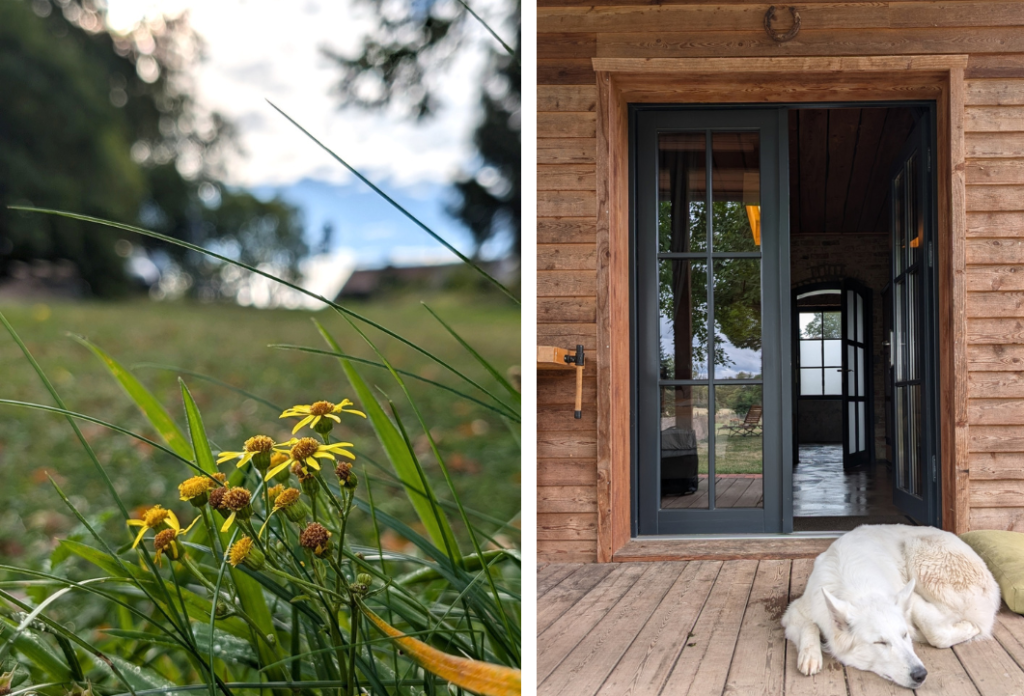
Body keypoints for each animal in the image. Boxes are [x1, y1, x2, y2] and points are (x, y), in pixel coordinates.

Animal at [778, 524, 995, 687]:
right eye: (880, 643)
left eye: (903, 636)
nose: (920, 674)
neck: (860, 588)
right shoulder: (795, 612)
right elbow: (809, 626)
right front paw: (810, 655)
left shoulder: (910, 599)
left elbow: (937, 633)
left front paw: (968, 628)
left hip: (917, 554)